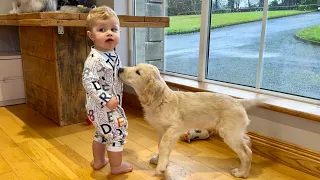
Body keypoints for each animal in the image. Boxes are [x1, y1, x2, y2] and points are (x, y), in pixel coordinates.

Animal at [119, 63, 264, 179]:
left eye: (138, 72)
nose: (120, 69)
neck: (159, 100)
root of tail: (238, 102)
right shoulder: (161, 130)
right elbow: (161, 145)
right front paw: (160, 160)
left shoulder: (174, 128)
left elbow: (164, 145)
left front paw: (161, 167)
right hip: (236, 132)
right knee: (247, 144)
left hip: (229, 133)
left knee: (246, 153)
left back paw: (242, 173)